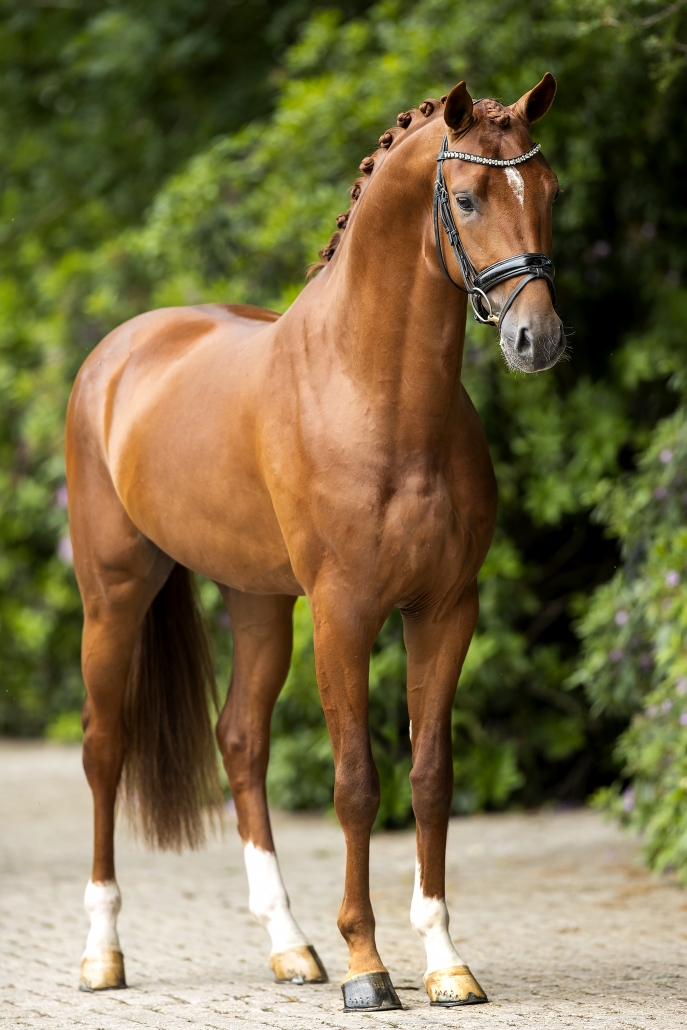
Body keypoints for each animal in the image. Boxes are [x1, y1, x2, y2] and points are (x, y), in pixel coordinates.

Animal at [68, 76, 564, 1009]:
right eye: (467, 198)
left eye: (549, 191)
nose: (537, 339)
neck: (373, 393)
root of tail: (116, 354)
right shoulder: (344, 616)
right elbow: (356, 784)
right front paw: (368, 966)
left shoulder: (445, 611)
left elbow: (430, 778)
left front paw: (444, 961)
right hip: (113, 597)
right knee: (103, 749)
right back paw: (101, 954)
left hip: (258, 601)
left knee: (240, 742)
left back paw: (290, 946)